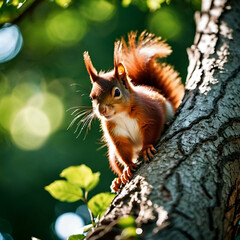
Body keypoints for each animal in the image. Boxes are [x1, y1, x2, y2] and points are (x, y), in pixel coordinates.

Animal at [82, 31, 184, 191]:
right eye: (92, 97)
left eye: (117, 92)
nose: (101, 109)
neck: (121, 115)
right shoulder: (115, 132)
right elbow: (123, 149)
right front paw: (128, 167)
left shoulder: (151, 112)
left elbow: (152, 130)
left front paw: (147, 148)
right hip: (112, 155)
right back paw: (117, 181)